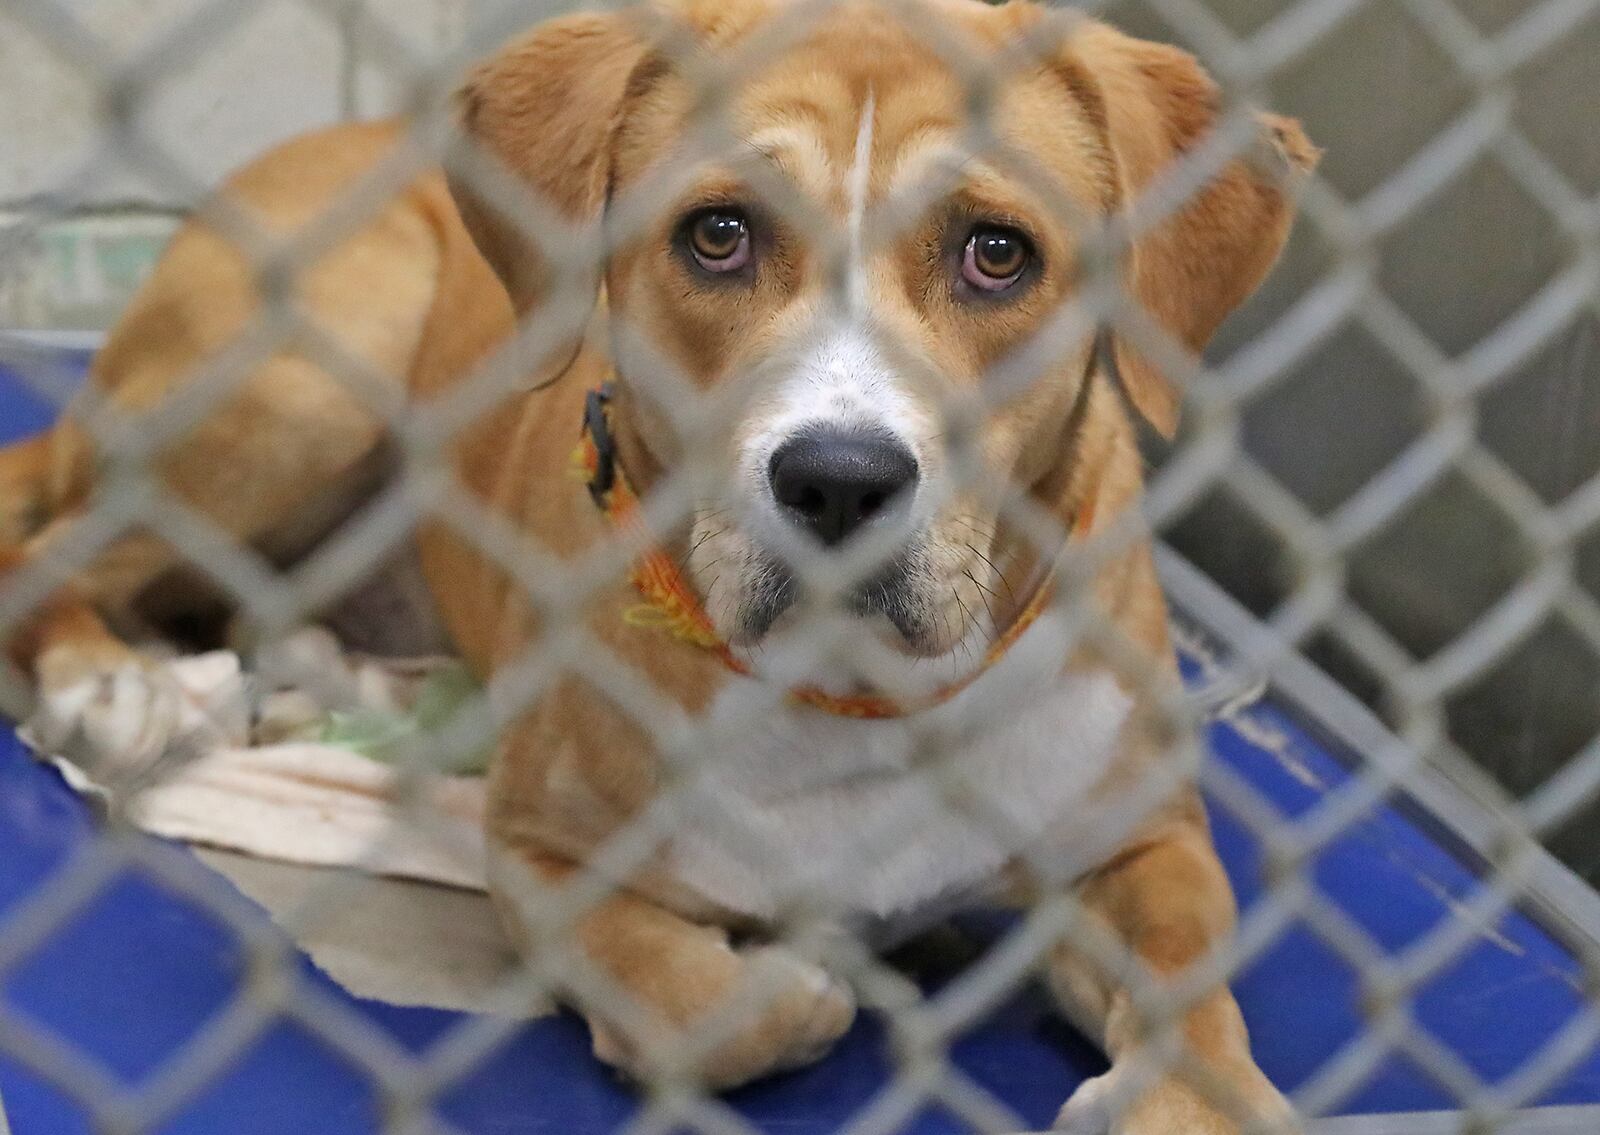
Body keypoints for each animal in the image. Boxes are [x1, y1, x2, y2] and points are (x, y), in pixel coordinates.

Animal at [3, 4, 1312, 1126]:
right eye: (718, 234)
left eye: (998, 252)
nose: (839, 479)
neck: (854, 696)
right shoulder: (542, 856)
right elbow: (692, 1006)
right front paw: (785, 987)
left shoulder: (1147, 838)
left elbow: (1191, 985)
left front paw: (1191, 1102)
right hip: (309, 370)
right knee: (47, 552)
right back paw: (105, 683)